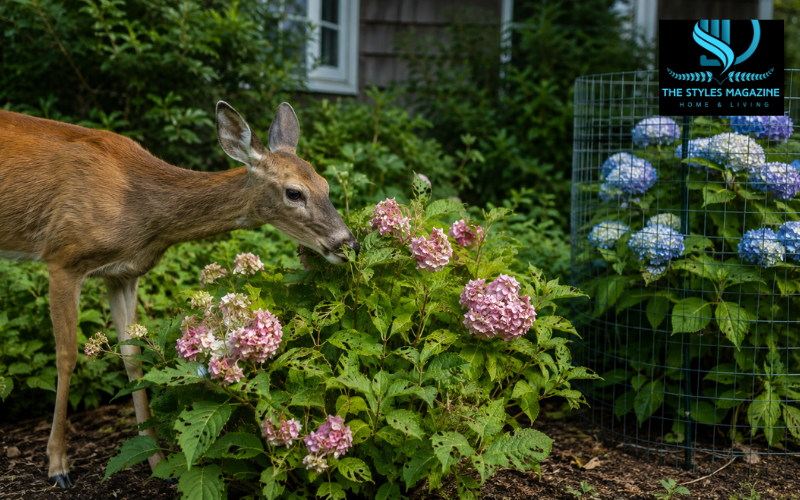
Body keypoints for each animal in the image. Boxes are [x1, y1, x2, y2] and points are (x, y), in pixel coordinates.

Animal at [0, 101, 360, 488]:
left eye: (325, 184)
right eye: (294, 192)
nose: (349, 244)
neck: (140, 210)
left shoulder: (123, 273)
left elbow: (132, 357)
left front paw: (155, 461)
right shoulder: (63, 258)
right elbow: (66, 356)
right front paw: (58, 465)